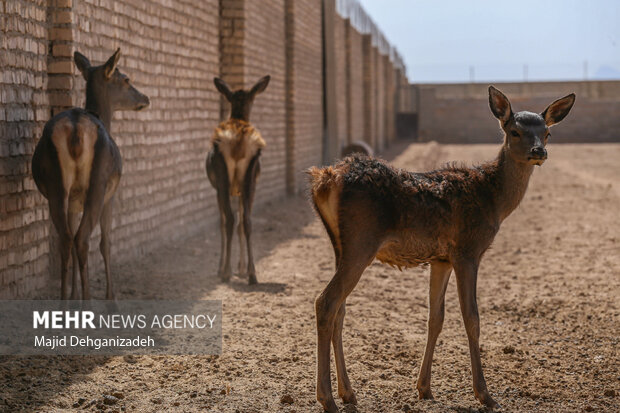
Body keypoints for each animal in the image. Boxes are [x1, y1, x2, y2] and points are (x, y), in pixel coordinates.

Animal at [32, 49, 150, 300]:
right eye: (126, 79)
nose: (146, 98)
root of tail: (76, 131)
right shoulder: (111, 195)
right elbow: (106, 243)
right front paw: (110, 298)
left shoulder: (74, 202)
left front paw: (74, 295)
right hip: (98, 182)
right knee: (83, 238)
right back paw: (88, 302)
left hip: (57, 185)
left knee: (67, 238)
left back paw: (65, 302)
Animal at [207, 75, 270, 284]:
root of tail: (238, 143)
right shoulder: (240, 189)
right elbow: (241, 225)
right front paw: (241, 269)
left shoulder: (218, 189)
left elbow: (222, 222)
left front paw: (222, 268)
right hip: (250, 179)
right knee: (246, 221)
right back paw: (252, 274)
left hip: (223, 178)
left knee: (229, 219)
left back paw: (226, 272)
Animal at [308, 85, 572, 410]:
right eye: (515, 131)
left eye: (547, 132)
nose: (538, 152)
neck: (495, 202)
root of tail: (324, 180)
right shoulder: (467, 251)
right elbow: (472, 318)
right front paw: (485, 394)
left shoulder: (441, 259)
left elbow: (436, 318)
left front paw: (423, 388)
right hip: (361, 241)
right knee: (326, 301)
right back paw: (326, 398)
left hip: (340, 246)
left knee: (340, 310)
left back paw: (347, 392)